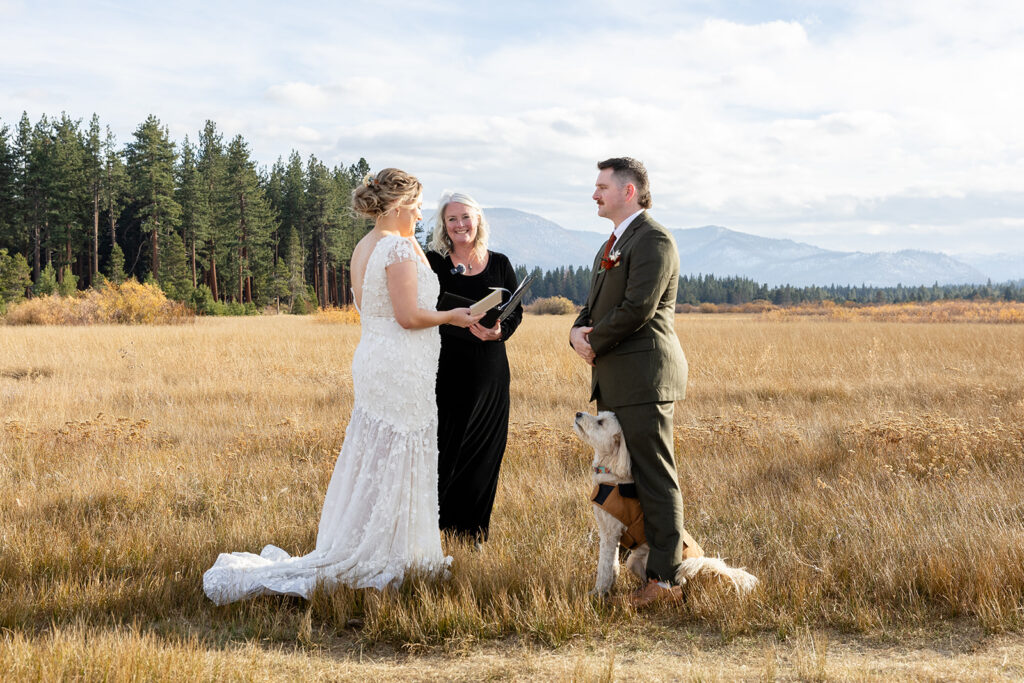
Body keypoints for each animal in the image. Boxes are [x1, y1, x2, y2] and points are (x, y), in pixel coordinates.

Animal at [573, 411, 757, 598]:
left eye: (600, 422)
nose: (578, 413)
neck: (611, 473)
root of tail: (701, 565)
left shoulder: (610, 532)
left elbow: (604, 566)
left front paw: (597, 593)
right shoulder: (611, 534)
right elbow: (613, 565)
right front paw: (609, 586)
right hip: (633, 560)